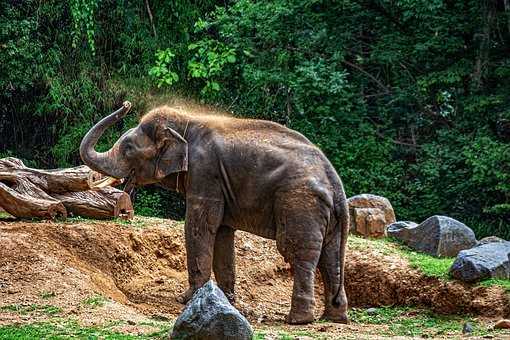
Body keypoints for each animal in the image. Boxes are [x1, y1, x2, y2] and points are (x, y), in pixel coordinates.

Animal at [79, 101, 350, 324]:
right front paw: (225, 301)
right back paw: (334, 317)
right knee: (330, 256)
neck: (186, 122)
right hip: (324, 215)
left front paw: (187, 299)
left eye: (127, 148)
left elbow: (200, 226)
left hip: (300, 203)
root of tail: (336, 183)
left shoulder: (205, 173)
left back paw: (298, 320)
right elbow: (222, 233)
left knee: (298, 253)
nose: (126, 104)